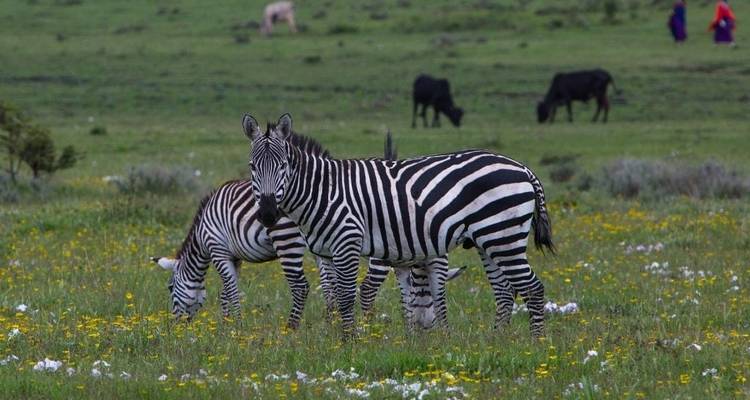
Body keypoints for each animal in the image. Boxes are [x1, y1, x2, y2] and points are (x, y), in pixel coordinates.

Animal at [243, 113, 554, 338]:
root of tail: (523, 168)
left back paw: (536, 343)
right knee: (504, 291)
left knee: (533, 288)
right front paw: (336, 337)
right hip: (488, 240)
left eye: (283, 166)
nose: (268, 214)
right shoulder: (327, 252)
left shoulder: (347, 241)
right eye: (252, 167)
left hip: (503, 235)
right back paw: (496, 341)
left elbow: (346, 296)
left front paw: (350, 342)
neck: (323, 190)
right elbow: (331, 295)